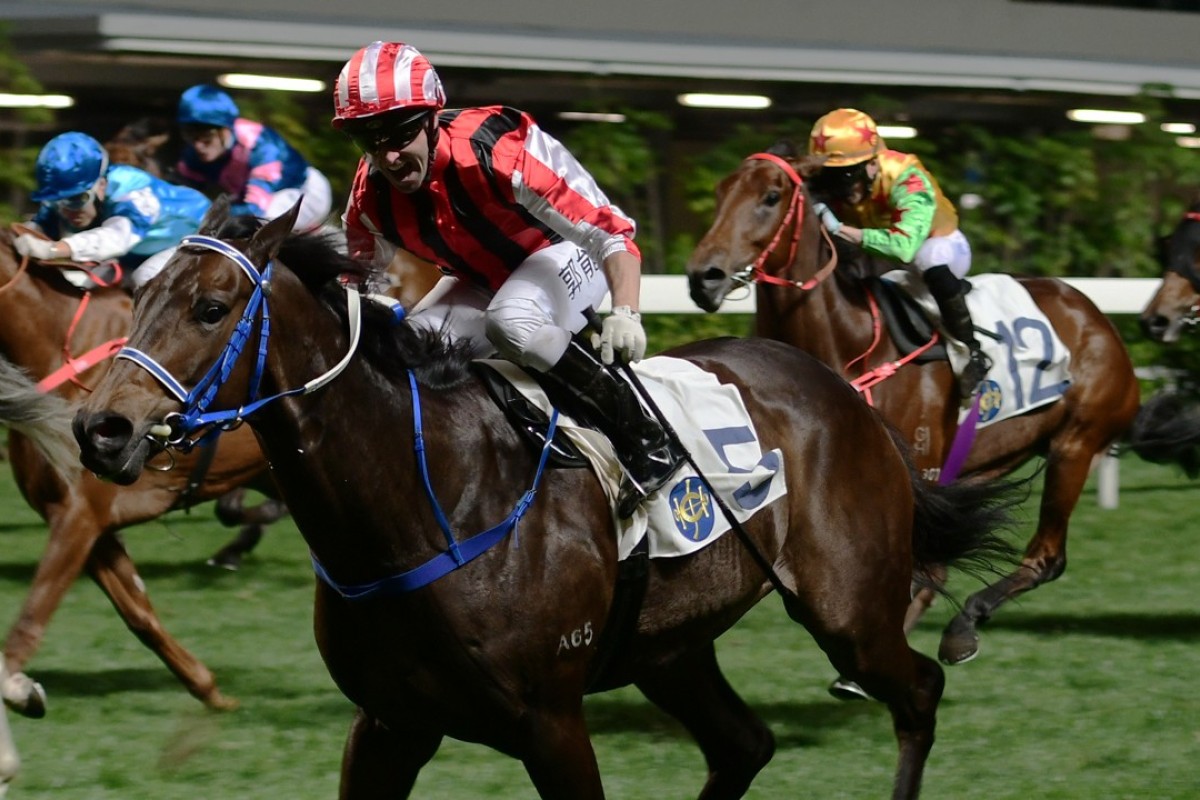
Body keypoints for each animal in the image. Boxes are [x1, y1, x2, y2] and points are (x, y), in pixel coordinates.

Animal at [0, 227, 288, 714]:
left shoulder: (79, 514)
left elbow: (36, 607)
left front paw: (18, 687)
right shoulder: (88, 523)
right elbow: (138, 613)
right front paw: (211, 692)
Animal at [68, 195, 1022, 800]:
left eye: (210, 306)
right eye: (138, 296)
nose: (100, 429)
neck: (424, 502)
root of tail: (848, 396)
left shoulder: (552, 724)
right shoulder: (389, 724)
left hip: (849, 612)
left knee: (918, 691)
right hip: (671, 648)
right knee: (745, 744)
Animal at [686, 142, 1132, 662]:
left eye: (771, 197)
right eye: (721, 192)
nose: (704, 278)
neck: (850, 343)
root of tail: (1094, 314)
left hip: (1074, 445)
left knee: (1045, 557)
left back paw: (963, 626)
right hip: (988, 460)